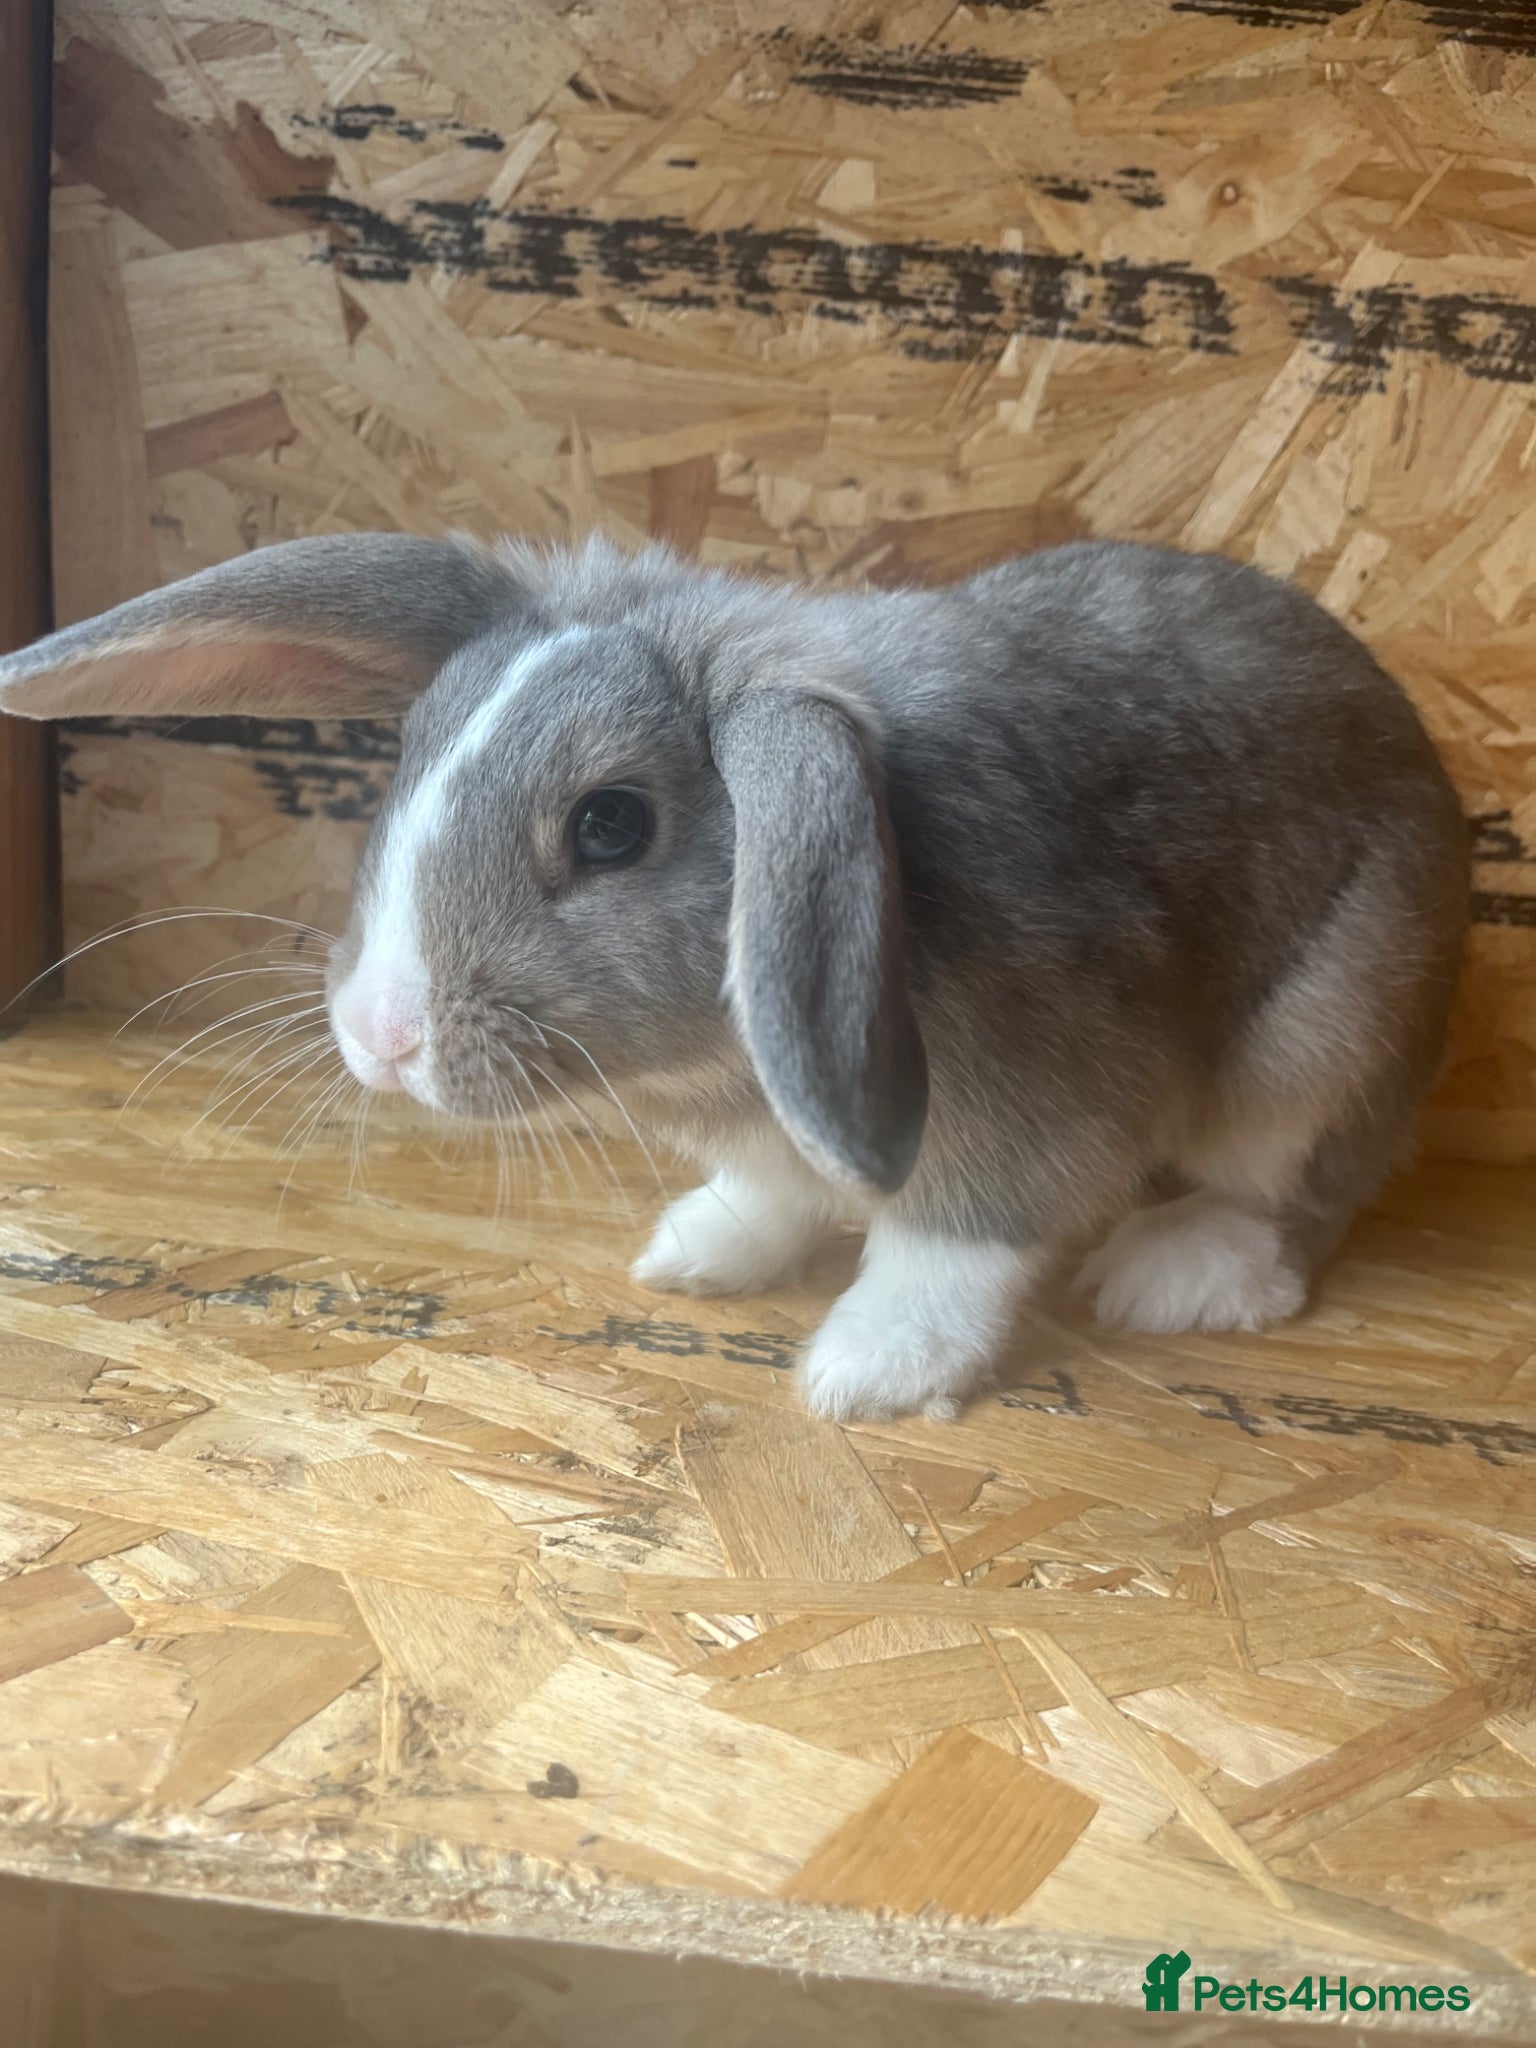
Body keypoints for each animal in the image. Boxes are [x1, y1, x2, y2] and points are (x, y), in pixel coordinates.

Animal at [0, 531, 1469, 1421]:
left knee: (1296, 1203)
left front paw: (867, 1372)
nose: (381, 1034)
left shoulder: (1034, 1110)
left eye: (612, 824)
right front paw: (696, 1254)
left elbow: (954, 1243)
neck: (732, 1049)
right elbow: (772, 1190)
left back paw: (1176, 1273)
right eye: (406, 754)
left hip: (1315, 1046)